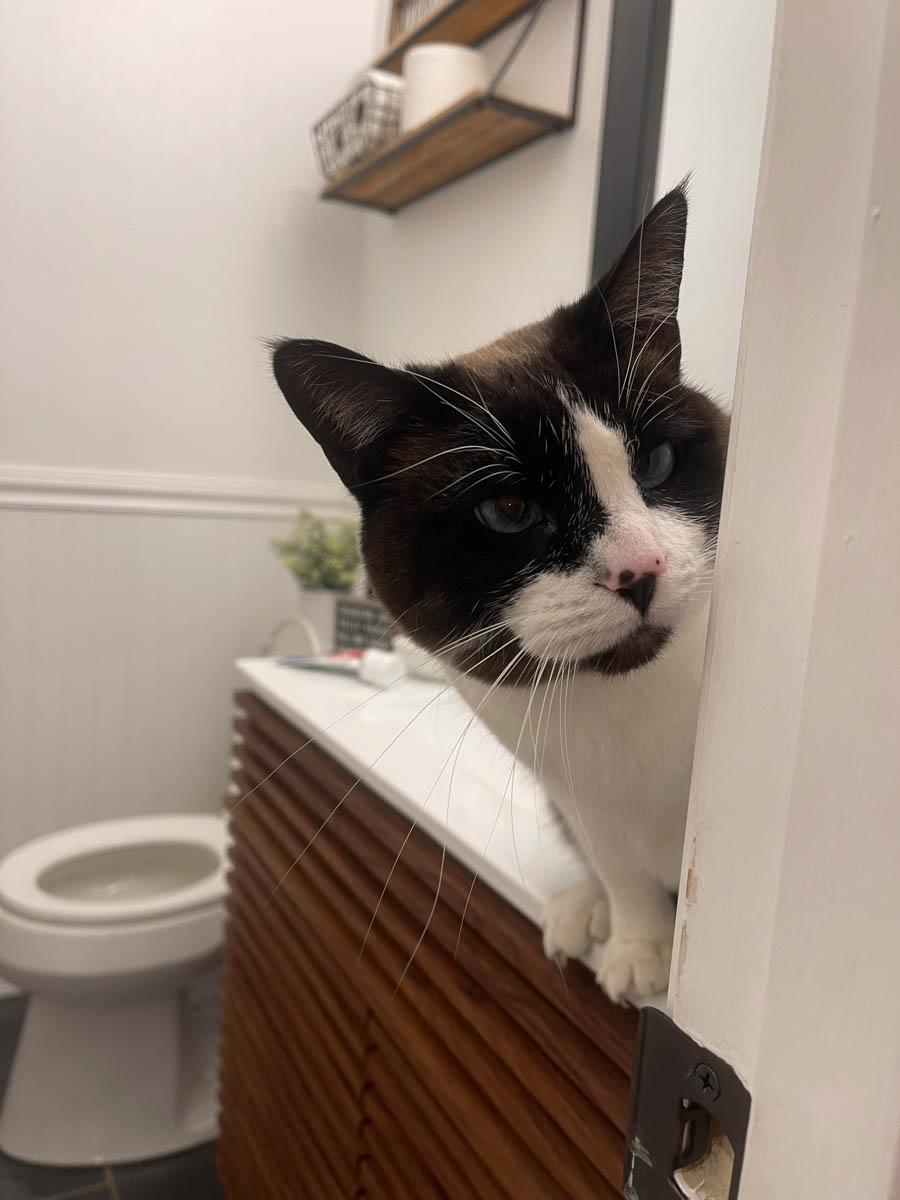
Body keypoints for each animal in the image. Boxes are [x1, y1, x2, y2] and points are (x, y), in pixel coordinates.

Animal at [271, 180, 729, 1003]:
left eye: (657, 464)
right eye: (511, 510)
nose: (640, 570)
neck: (627, 699)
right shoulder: (581, 798)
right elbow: (620, 868)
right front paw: (637, 943)